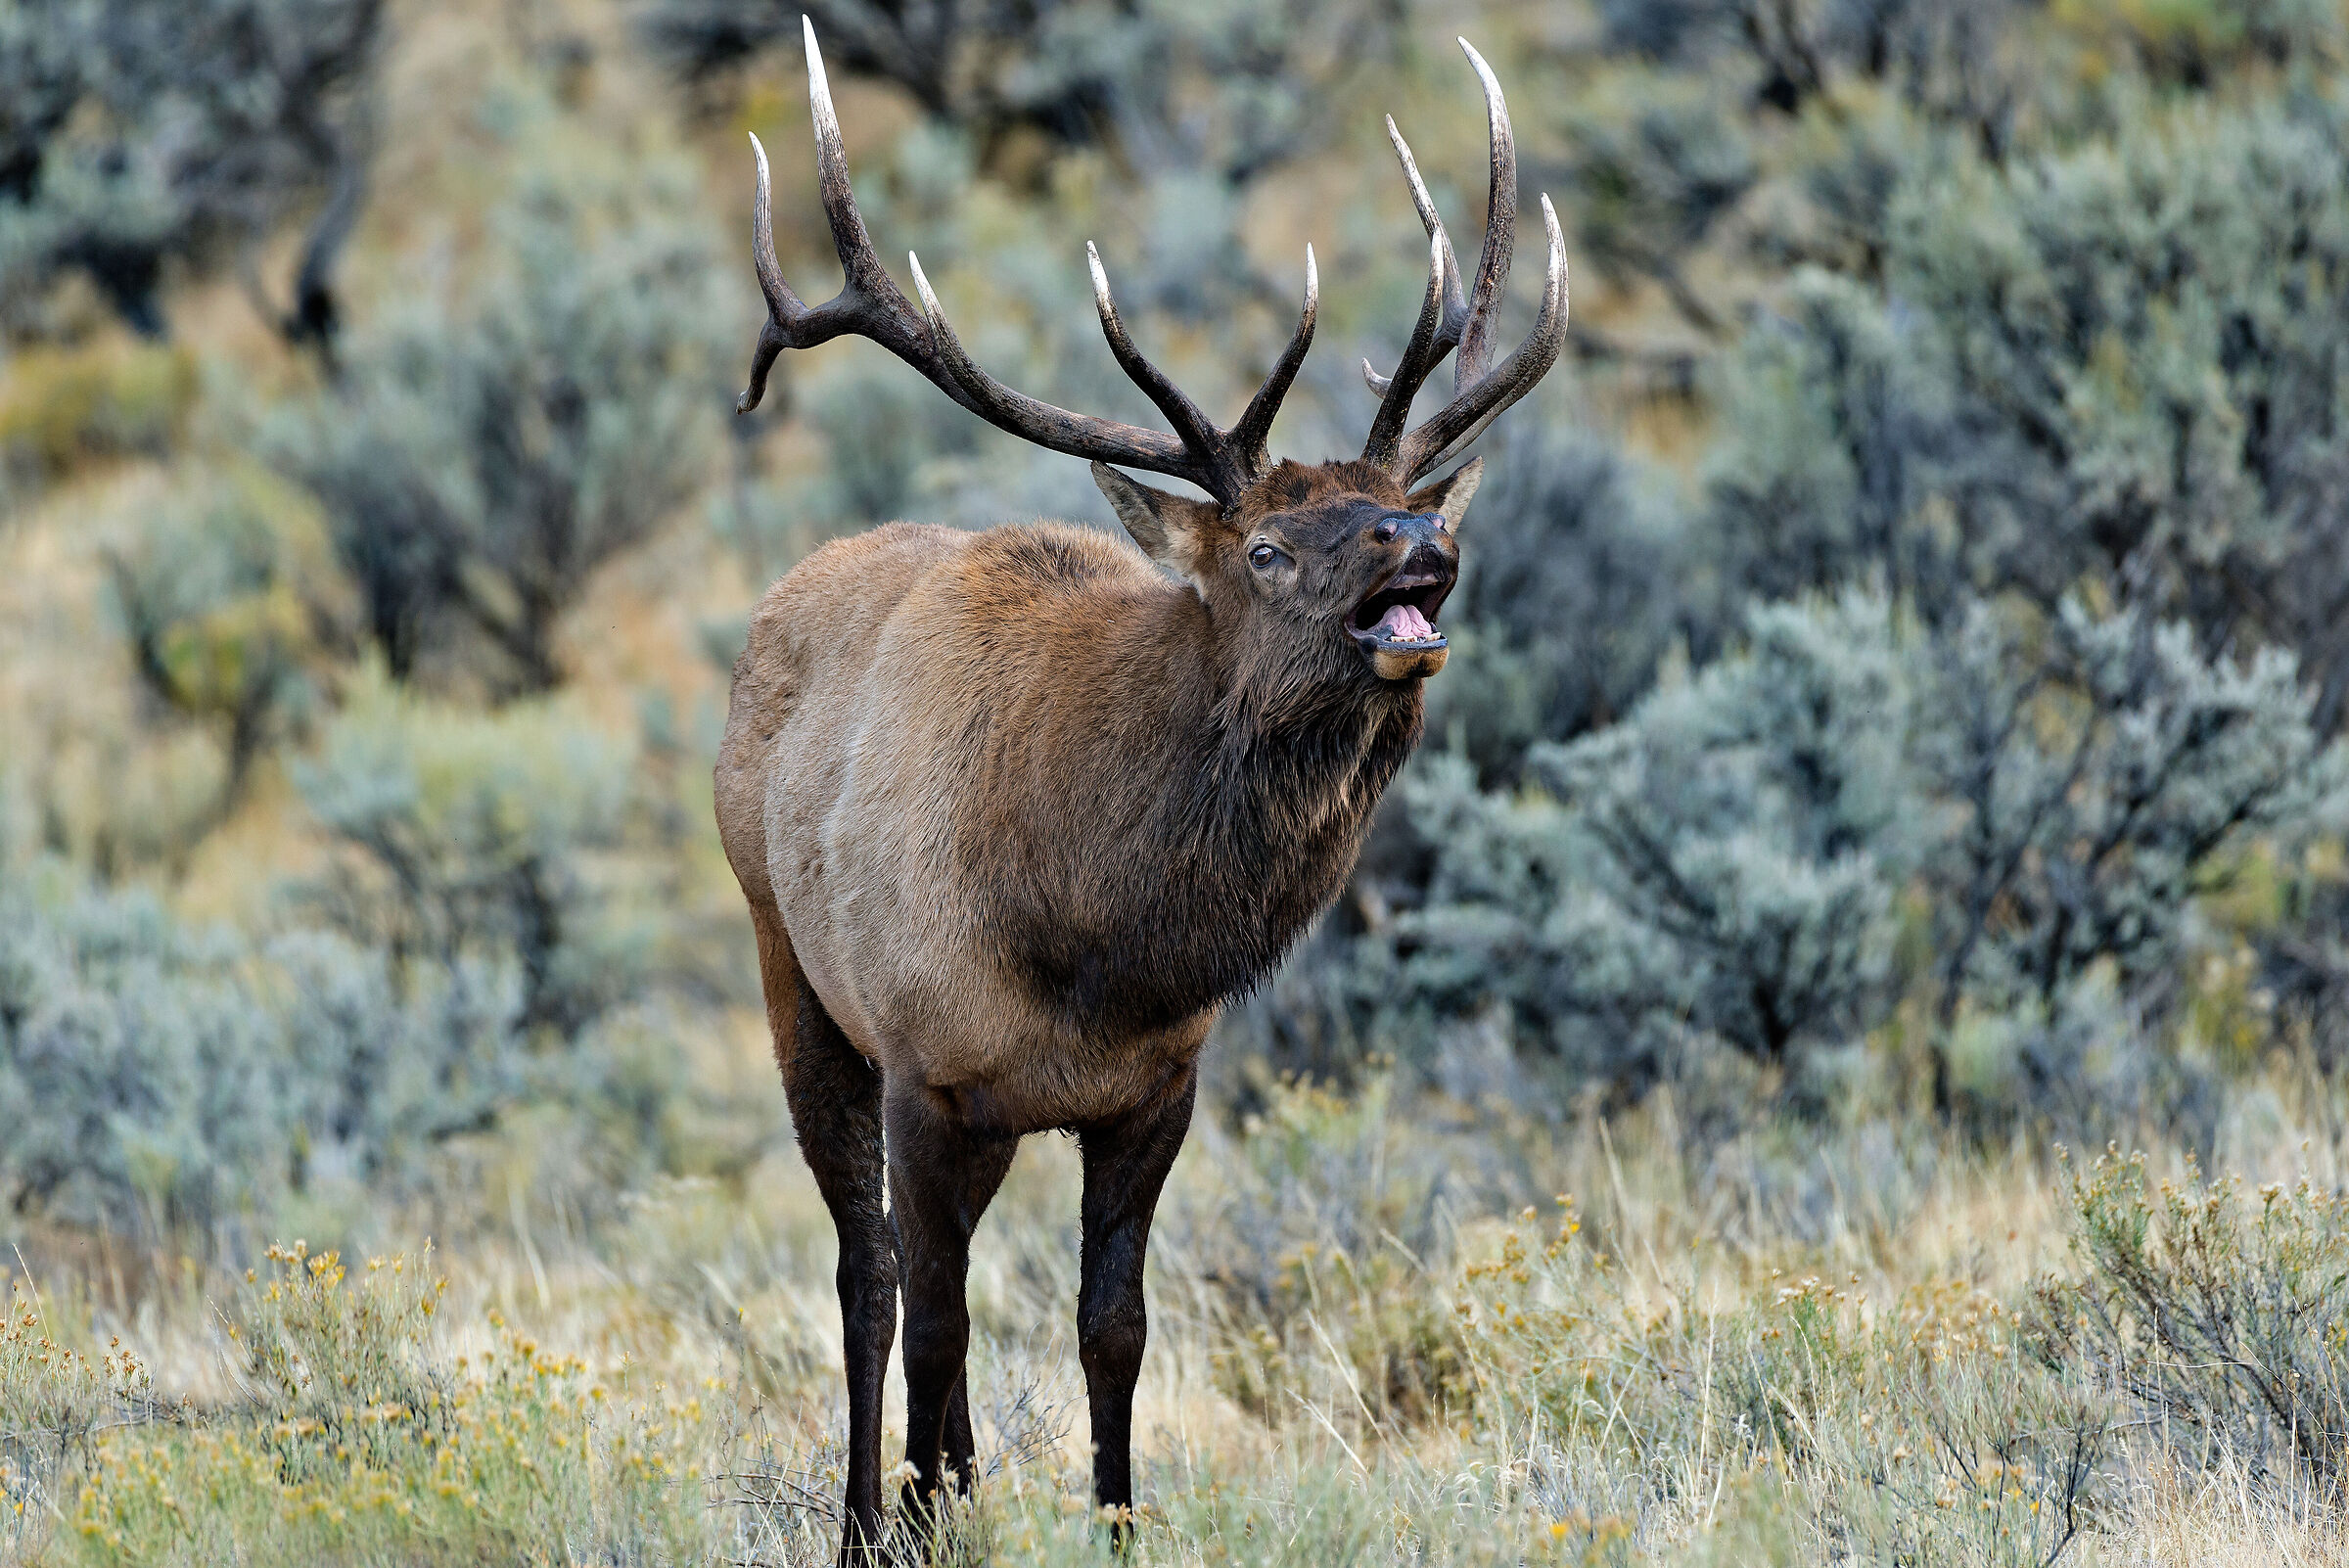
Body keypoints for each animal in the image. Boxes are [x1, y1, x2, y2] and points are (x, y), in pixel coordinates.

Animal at [715, 18, 1564, 1558]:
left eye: (1388, 505)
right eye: (1270, 547)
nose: (1419, 538)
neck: (1093, 939)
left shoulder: (1157, 1085)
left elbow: (1114, 1330)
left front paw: (1103, 1518)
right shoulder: (927, 1064)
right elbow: (928, 1317)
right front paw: (909, 1521)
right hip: (792, 972)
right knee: (869, 1276)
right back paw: (873, 1510)